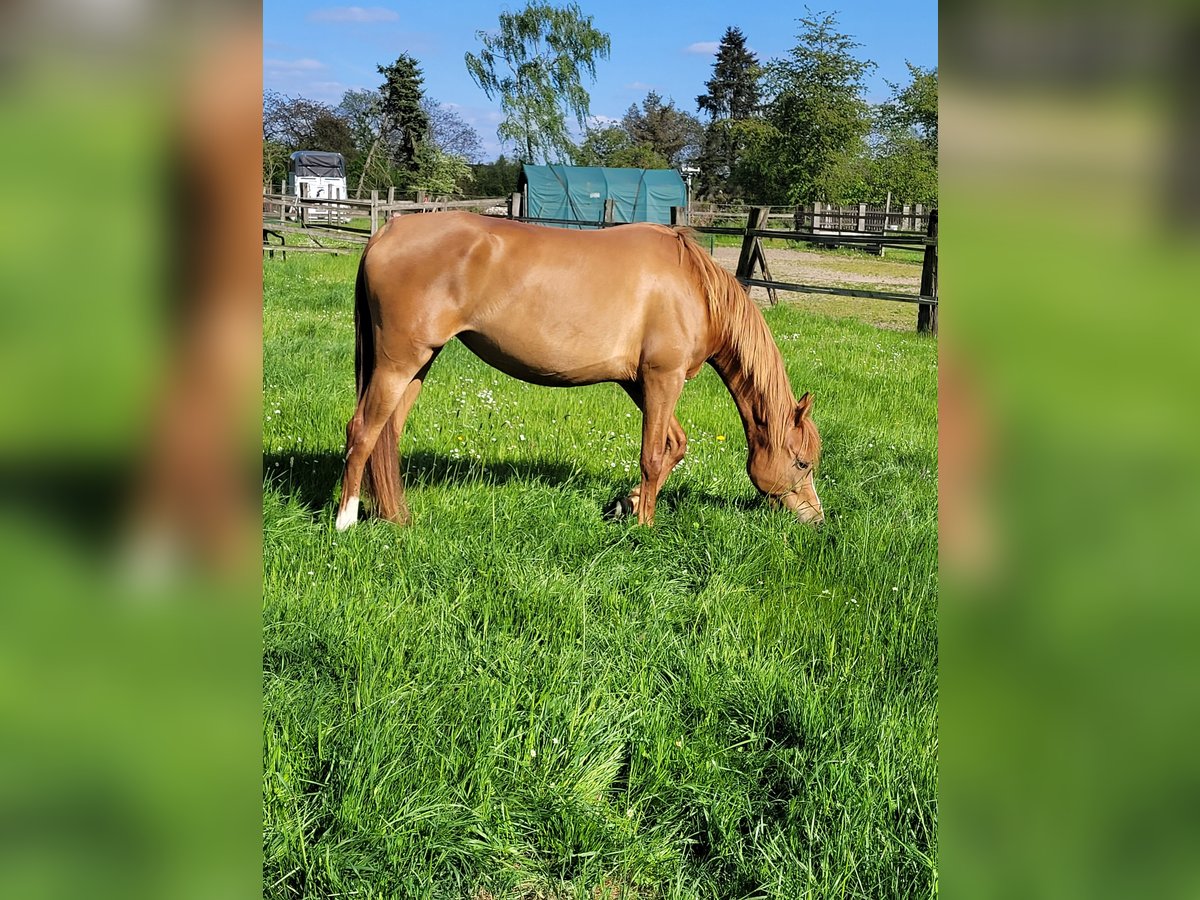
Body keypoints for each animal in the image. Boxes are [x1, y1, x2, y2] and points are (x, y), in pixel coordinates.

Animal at [338, 213, 825, 532]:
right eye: (802, 462)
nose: (816, 519)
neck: (694, 289)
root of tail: (386, 232)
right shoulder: (662, 378)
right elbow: (653, 455)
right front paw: (644, 525)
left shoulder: (637, 382)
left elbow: (674, 445)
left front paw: (628, 504)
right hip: (398, 362)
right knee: (362, 431)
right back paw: (346, 521)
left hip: (419, 363)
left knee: (387, 435)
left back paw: (396, 518)